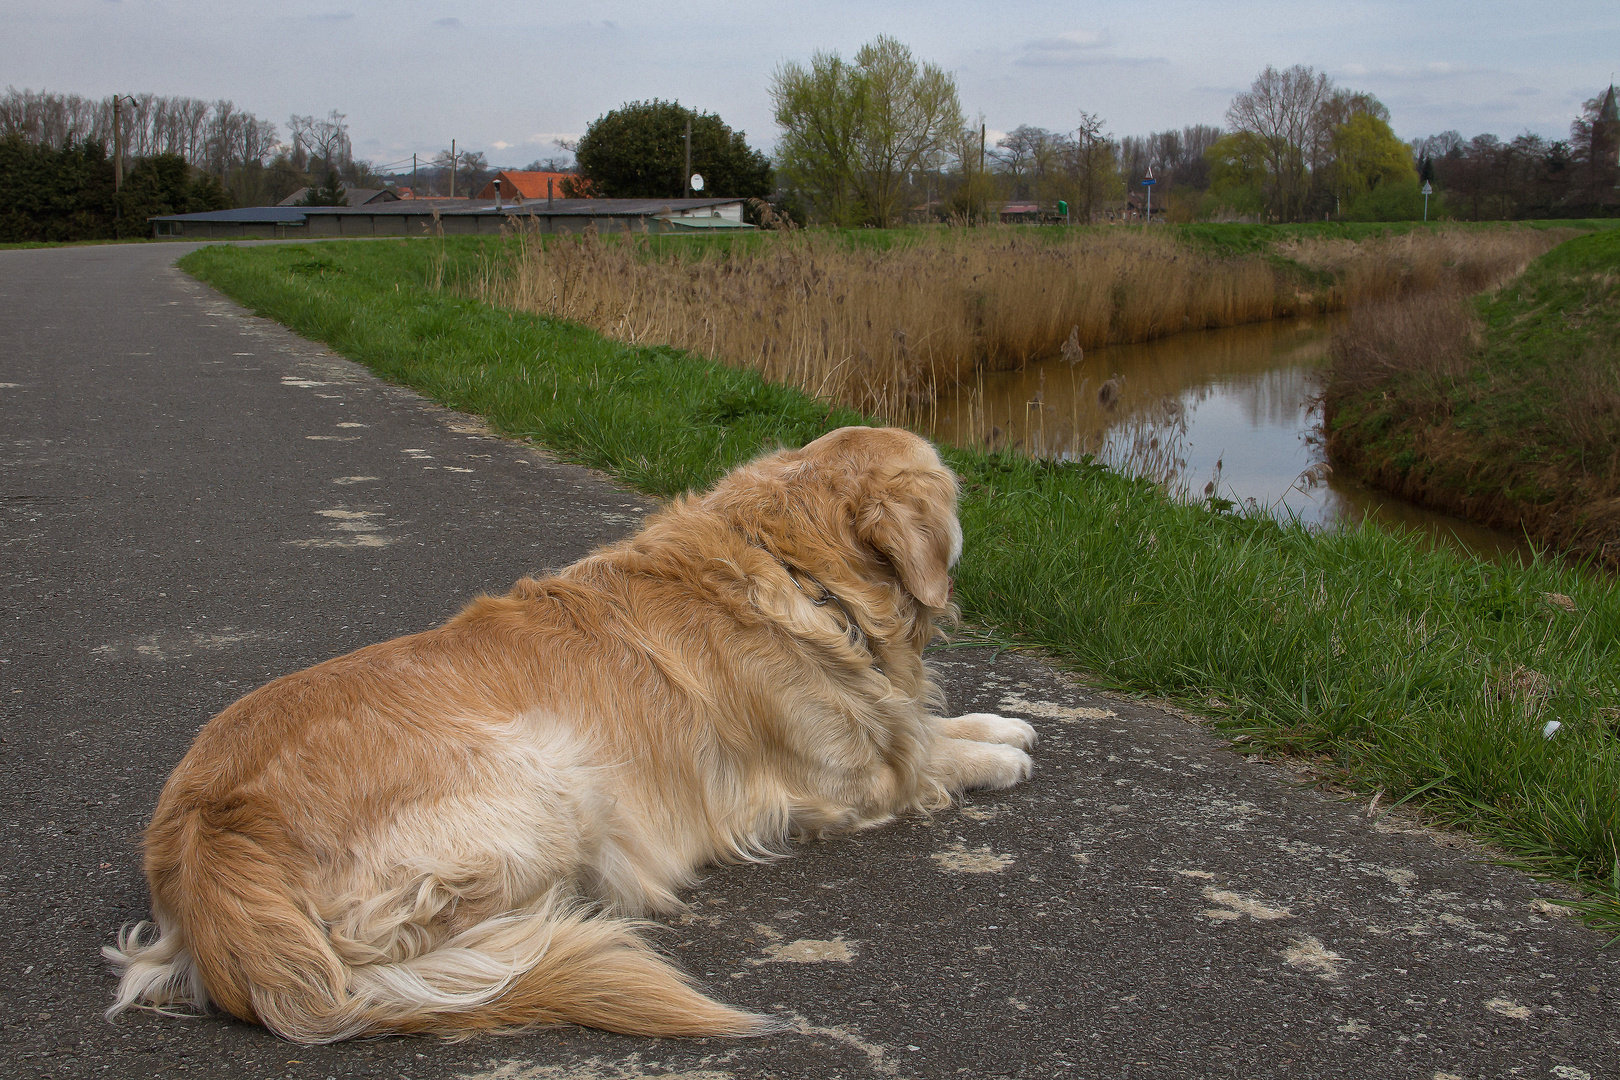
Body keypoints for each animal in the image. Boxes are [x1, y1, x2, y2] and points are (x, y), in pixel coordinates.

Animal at [104, 424, 1036, 1049]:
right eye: (954, 489)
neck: (798, 570)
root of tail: (201, 839)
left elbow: (928, 724)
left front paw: (1000, 721)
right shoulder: (844, 780)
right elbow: (924, 759)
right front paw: (997, 755)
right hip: (552, 783)